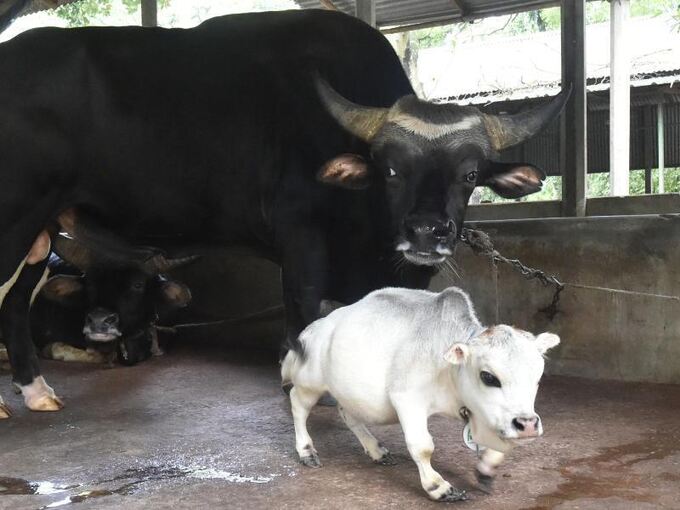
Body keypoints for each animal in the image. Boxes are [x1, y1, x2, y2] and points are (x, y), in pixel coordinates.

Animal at [0, 9, 568, 417]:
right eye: (389, 169)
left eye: (469, 175)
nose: (427, 232)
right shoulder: (301, 240)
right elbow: (304, 314)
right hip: (15, 217)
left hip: (41, 234)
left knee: (14, 306)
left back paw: (36, 393)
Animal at [281, 286, 560, 501]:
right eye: (488, 377)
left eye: (538, 376)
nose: (528, 424)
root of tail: (313, 329)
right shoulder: (406, 397)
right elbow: (422, 446)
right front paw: (438, 487)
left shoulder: (486, 413)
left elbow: (501, 445)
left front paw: (486, 469)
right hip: (310, 382)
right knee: (298, 404)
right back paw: (306, 450)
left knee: (347, 414)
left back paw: (375, 449)